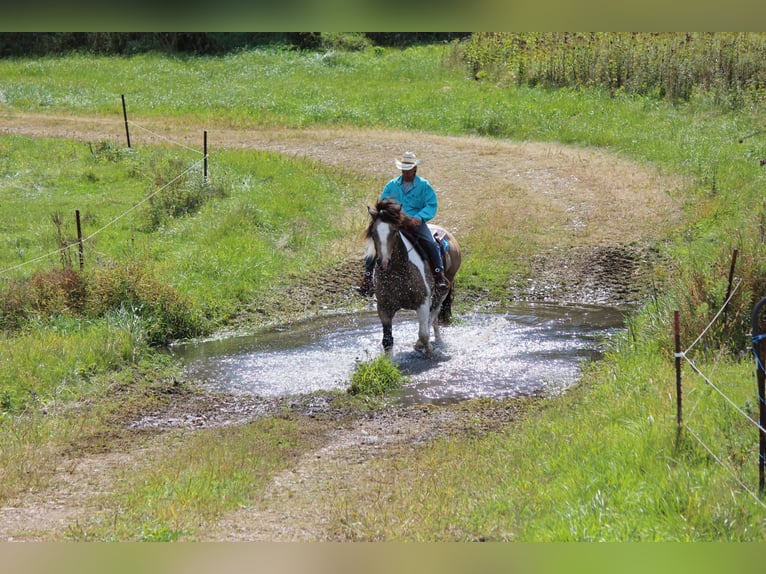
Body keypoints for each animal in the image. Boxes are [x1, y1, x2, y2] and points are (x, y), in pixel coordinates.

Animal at [364, 200, 464, 358]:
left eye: (394, 231)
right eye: (373, 233)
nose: (384, 263)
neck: (398, 273)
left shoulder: (422, 302)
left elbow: (423, 334)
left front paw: (426, 349)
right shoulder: (384, 307)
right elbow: (387, 340)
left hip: (444, 288)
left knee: (434, 312)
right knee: (434, 317)